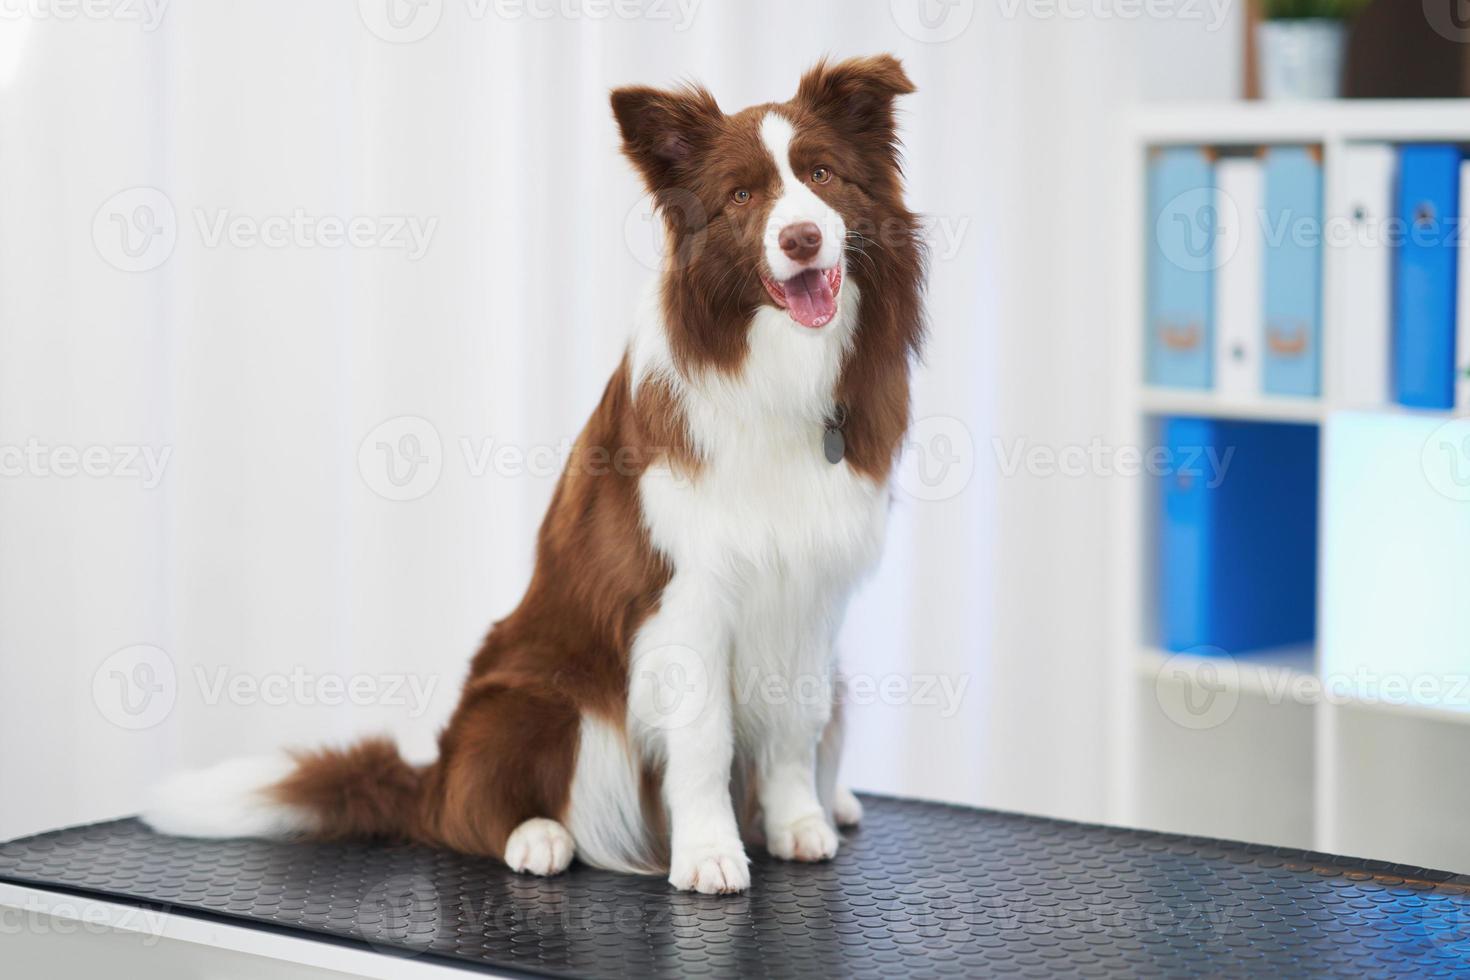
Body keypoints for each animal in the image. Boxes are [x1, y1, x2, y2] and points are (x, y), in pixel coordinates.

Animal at [143, 55, 923, 899]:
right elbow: (704, 740)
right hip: (532, 696)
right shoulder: (685, 597)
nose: (802, 237)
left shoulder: (811, 594)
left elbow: (795, 726)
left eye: (821, 175)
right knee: (470, 811)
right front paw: (710, 853)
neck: (777, 369)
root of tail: (432, 775)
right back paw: (536, 836)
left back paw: (833, 800)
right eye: (742, 196)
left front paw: (797, 824)